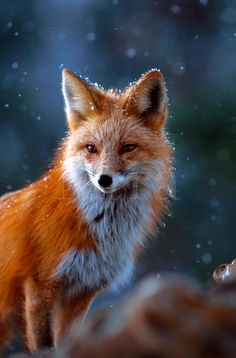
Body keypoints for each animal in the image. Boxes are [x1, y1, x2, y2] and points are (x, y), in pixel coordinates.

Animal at [0, 68, 172, 352]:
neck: (102, 232)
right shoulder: (39, 284)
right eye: (91, 148)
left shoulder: (82, 291)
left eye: (128, 147)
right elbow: (45, 345)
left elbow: (68, 343)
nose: (104, 179)